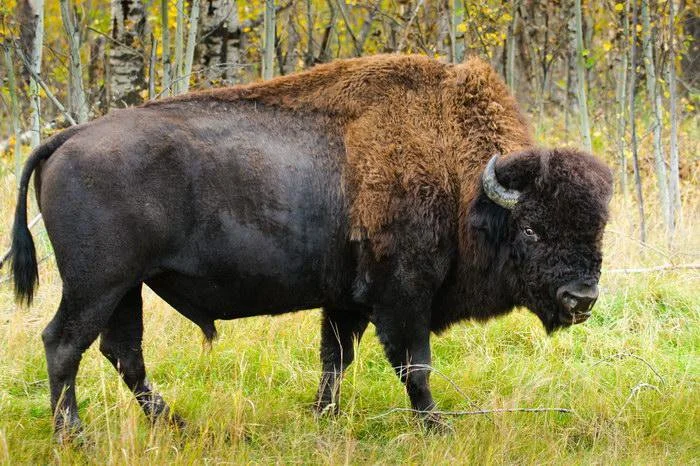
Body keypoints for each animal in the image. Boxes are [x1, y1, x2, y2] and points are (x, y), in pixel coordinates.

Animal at [7, 54, 612, 435]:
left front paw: (324, 417)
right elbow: (414, 366)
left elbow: (335, 359)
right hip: (96, 285)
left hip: (125, 288)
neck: (460, 181)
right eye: (531, 229)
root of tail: (68, 138)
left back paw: (175, 425)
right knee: (65, 345)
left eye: (597, 229)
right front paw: (436, 427)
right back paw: (74, 436)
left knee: (122, 353)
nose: (581, 299)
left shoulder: (345, 301)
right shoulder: (402, 295)